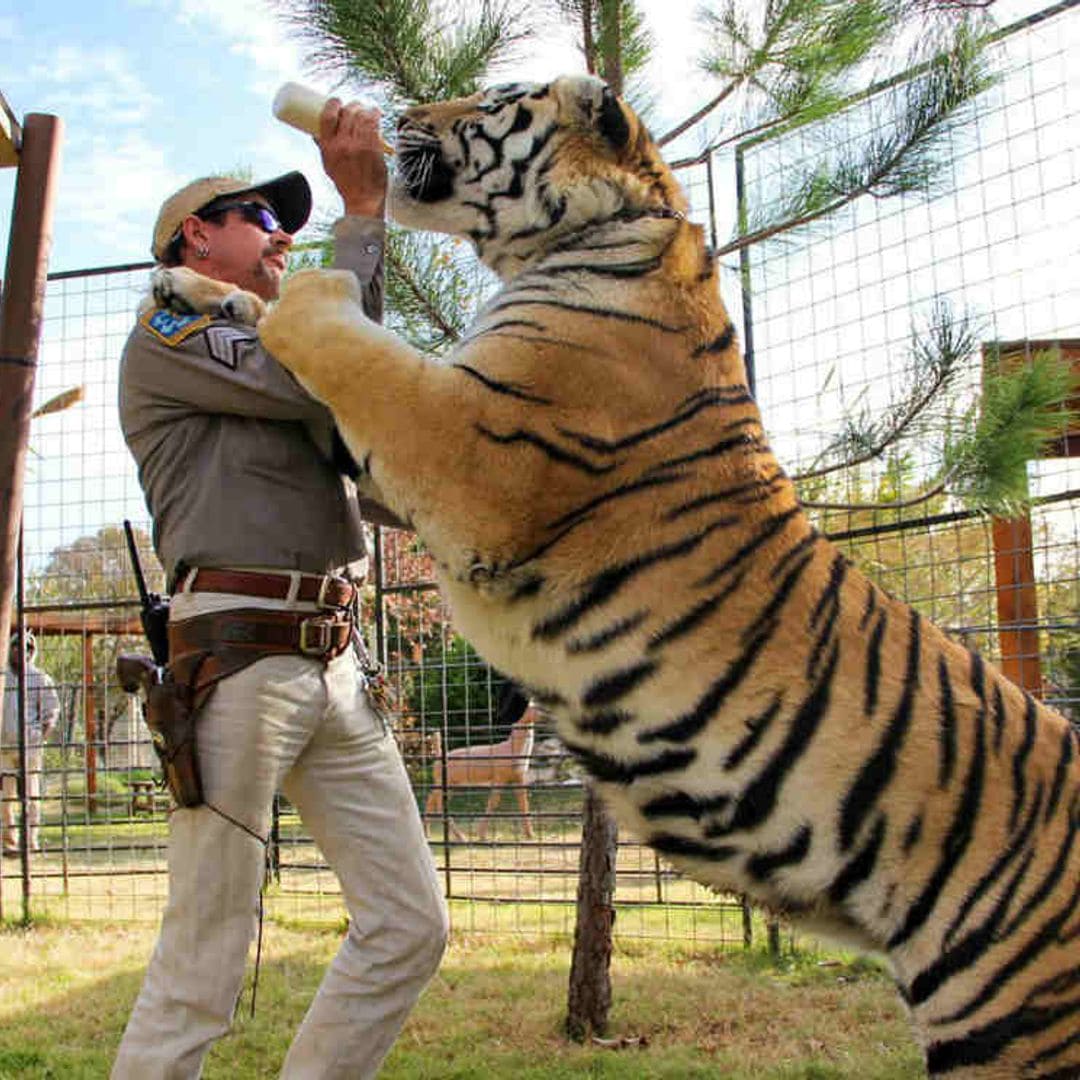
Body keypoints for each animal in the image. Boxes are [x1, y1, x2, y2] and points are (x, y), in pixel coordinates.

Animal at [157, 74, 1080, 1078]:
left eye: (490, 98)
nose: (396, 115)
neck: (589, 234)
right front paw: (189, 286)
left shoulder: (466, 448)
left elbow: (346, 339)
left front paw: (304, 282)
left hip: (1009, 1022)